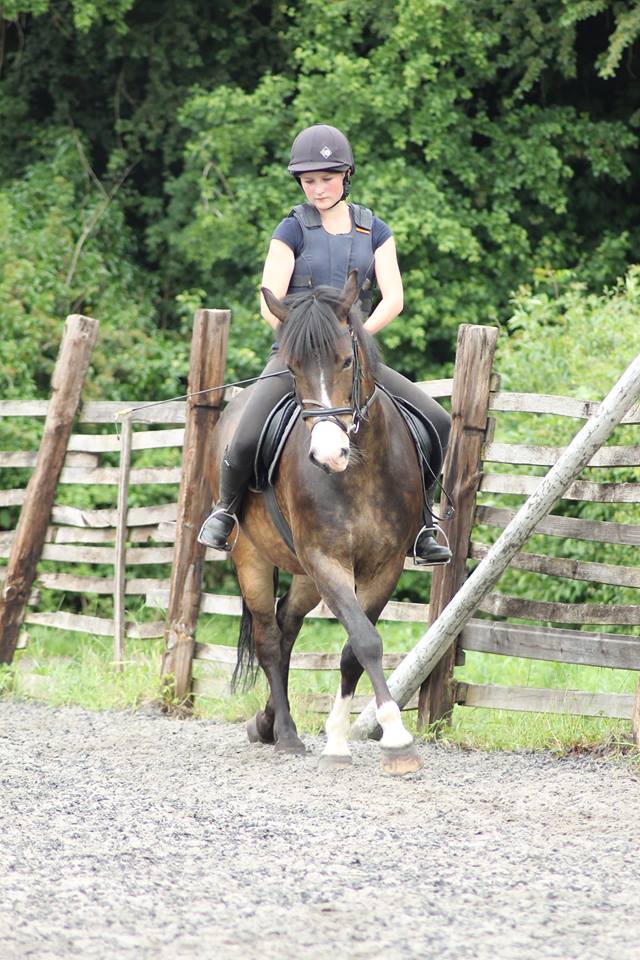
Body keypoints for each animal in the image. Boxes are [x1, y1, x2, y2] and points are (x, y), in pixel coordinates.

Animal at [210, 271, 427, 775]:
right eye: (292, 368)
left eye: (347, 360)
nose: (329, 455)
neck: (360, 472)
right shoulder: (327, 560)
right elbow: (365, 641)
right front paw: (396, 740)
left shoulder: (383, 567)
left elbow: (352, 651)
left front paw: (342, 738)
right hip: (253, 557)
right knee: (270, 637)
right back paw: (286, 734)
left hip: (306, 574)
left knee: (287, 624)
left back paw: (268, 721)